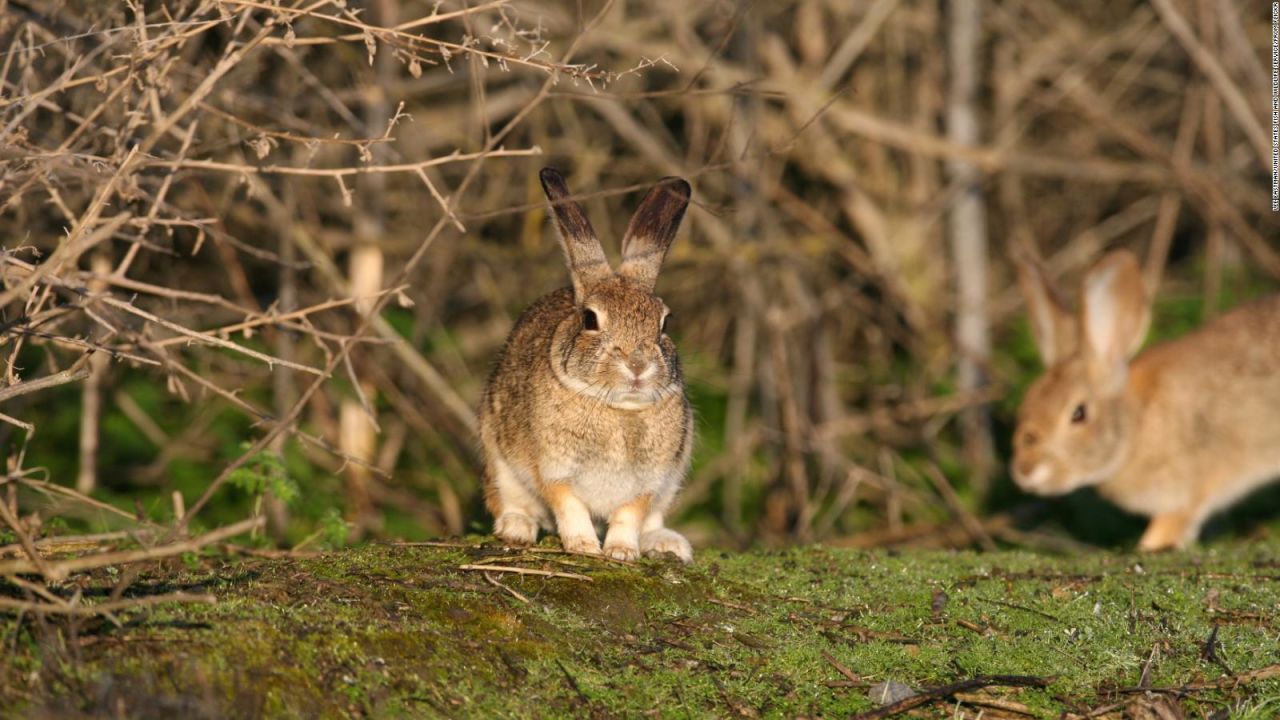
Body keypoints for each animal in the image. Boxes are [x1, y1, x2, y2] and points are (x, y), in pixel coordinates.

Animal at [481, 166, 696, 561]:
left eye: (665, 323)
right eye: (590, 320)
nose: (638, 366)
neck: (619, 409)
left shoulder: (650, 482)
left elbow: (630, 515)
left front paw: (621, 552)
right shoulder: (553, 469)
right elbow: (569, 506)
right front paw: (583, 546)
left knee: (653, 521)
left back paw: (668, 544)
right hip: (499, 460)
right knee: (509, 501)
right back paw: (516, 528)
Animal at [1008, 248, 1280, 548]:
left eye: (1078, 414)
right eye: (1028, 400)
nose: (1025, 471)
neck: (1136, 426)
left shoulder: (1187, 491)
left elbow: (1169, 526)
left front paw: (1150, 546)